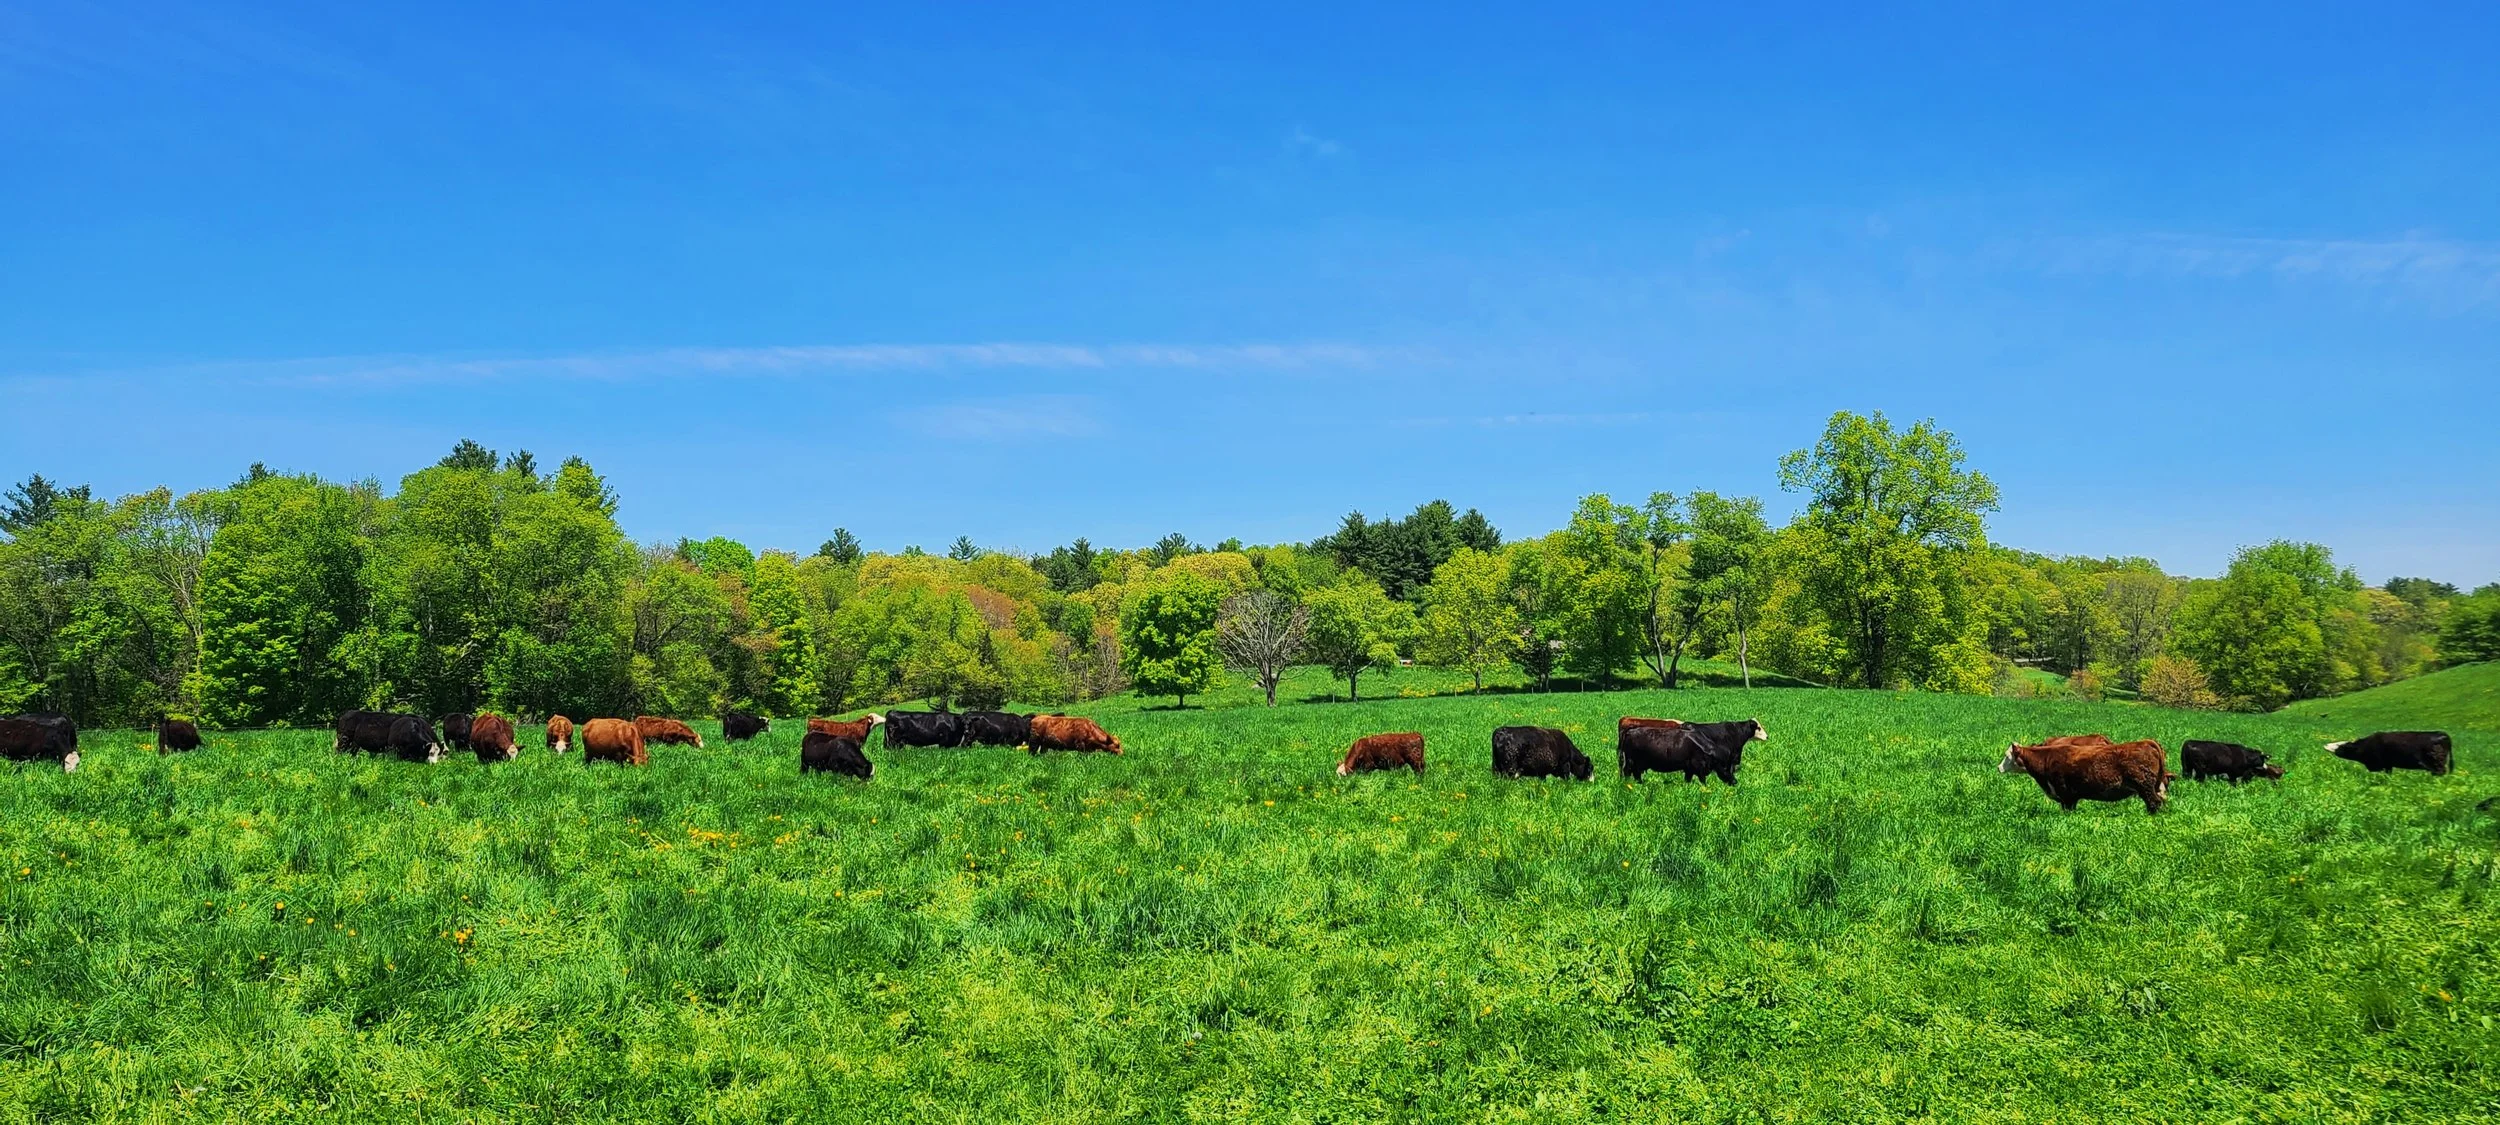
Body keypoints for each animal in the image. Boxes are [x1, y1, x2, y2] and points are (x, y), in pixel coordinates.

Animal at [1619, 719, 1766, 784]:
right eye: (1758, 728)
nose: (1735, 782)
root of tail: (1631, 730)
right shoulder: (1699, 768)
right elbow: (1703, 781)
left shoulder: (1688, 769)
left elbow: (1688, 780)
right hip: (1631, 761)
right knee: (1627, 772)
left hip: (1638, 764)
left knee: (1636, 774)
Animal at [1999, 738, 2171, 814]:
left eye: (2007, 756)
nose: (1998, 767)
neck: (2046, 758)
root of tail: (2146, 742)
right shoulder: (2072, 798)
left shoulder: (2066, 795)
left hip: (2145, 787)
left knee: (2154, 803)